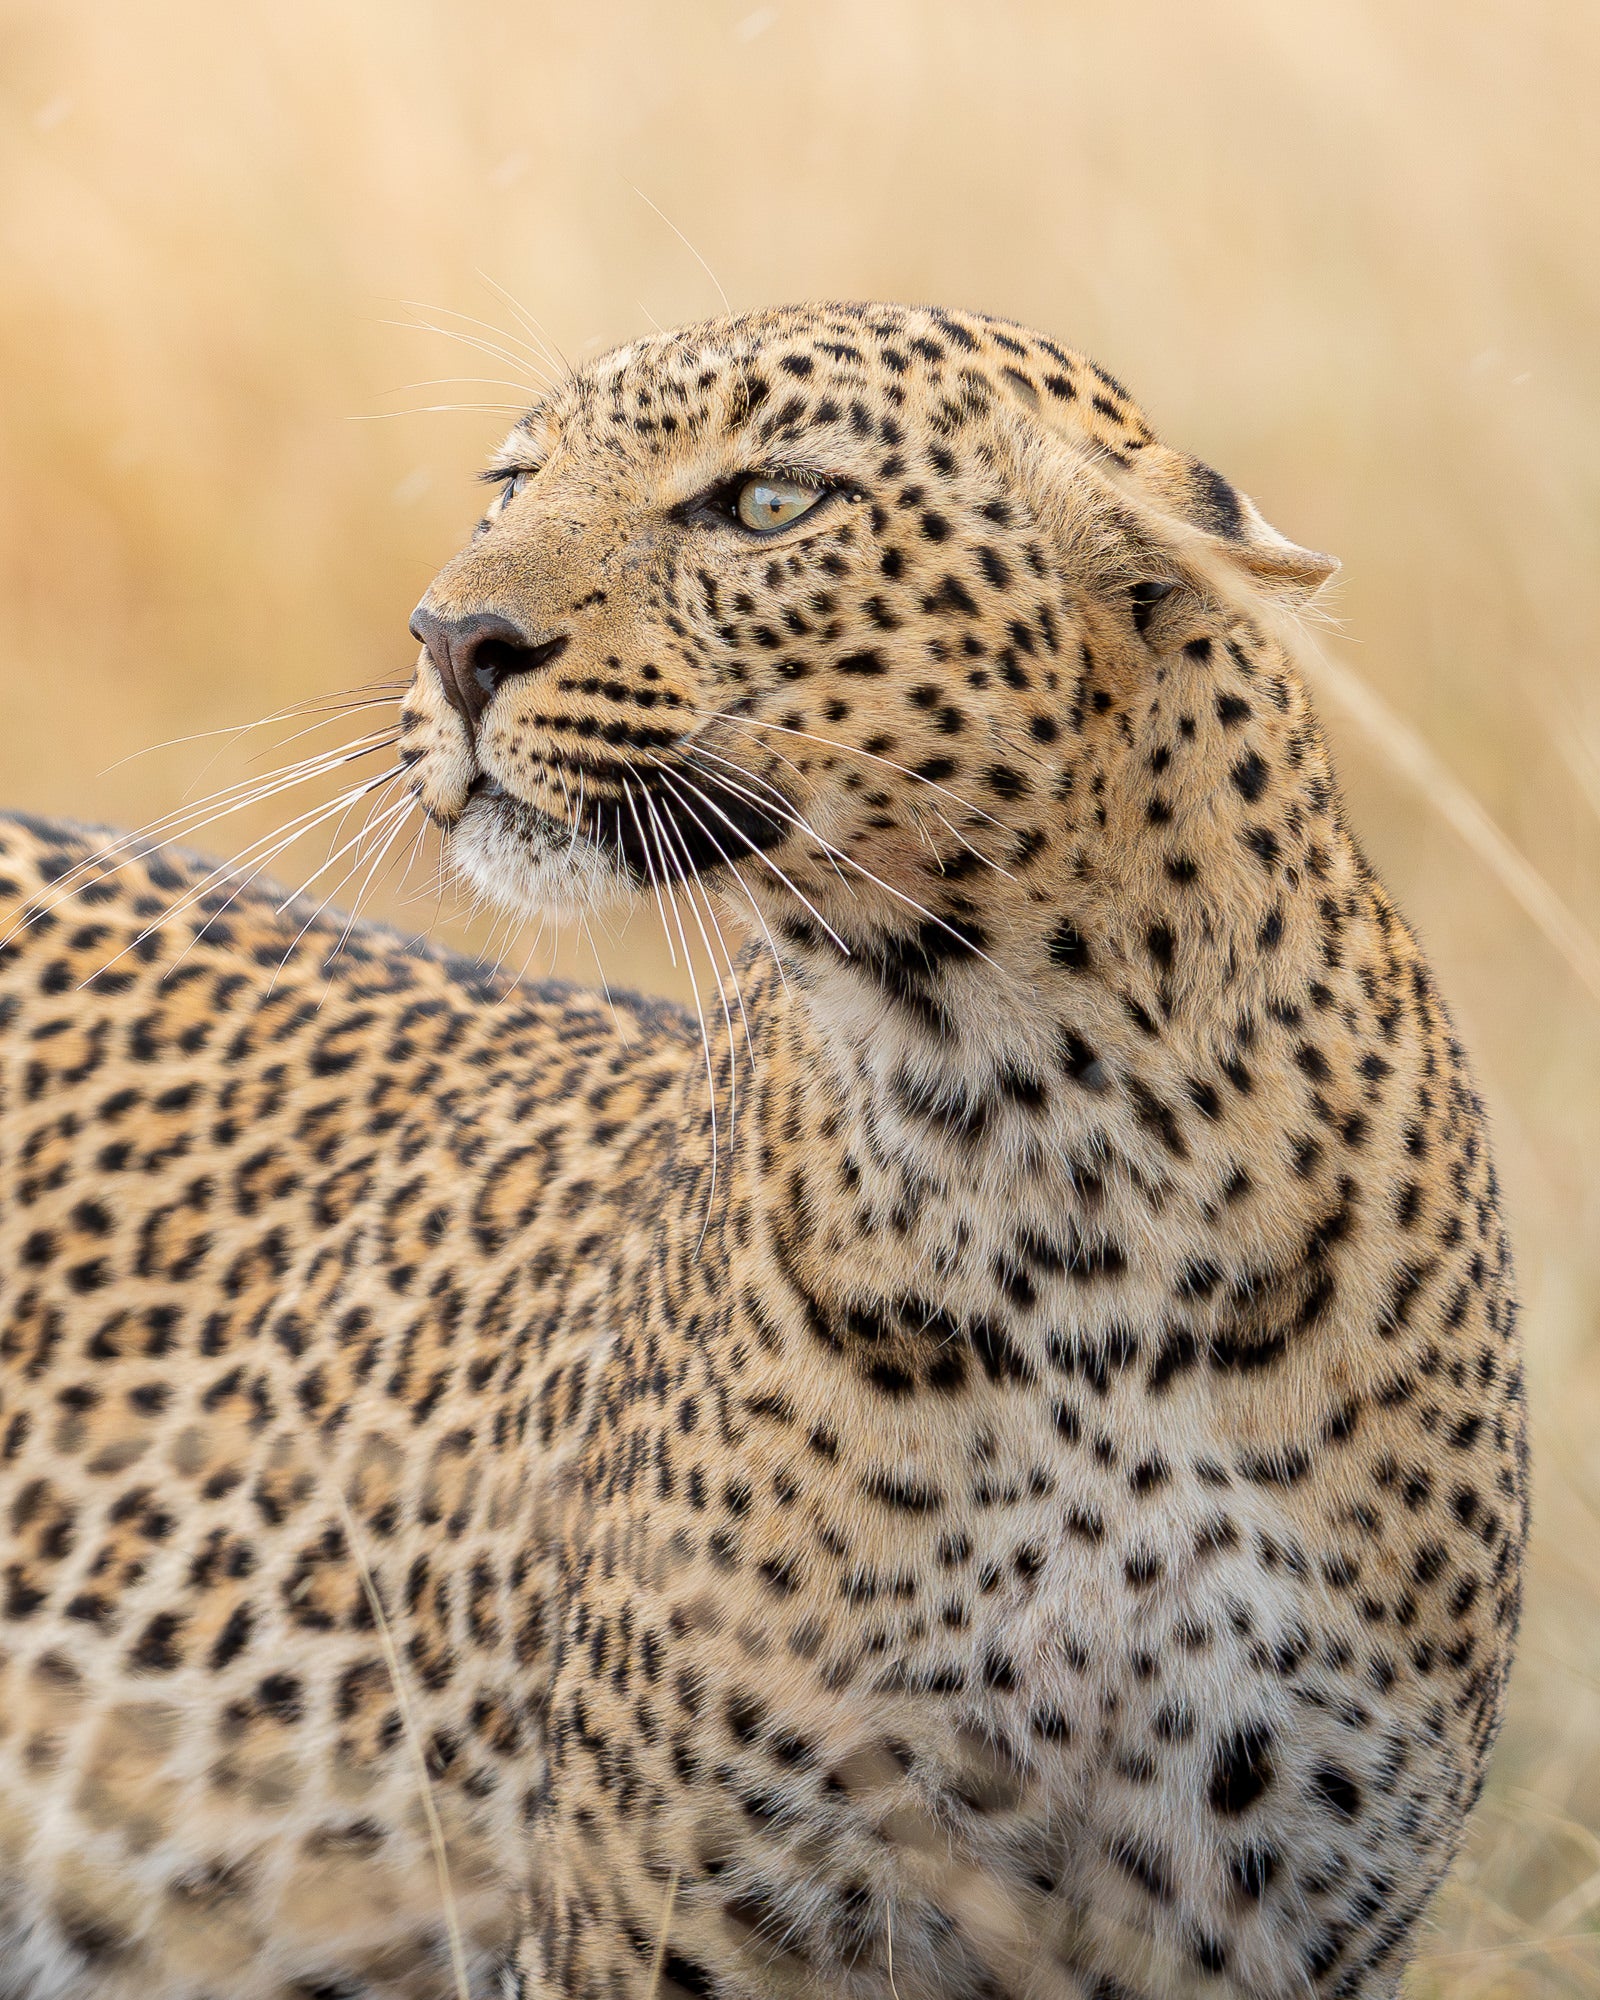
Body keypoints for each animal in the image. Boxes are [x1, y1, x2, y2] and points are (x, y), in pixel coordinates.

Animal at [0, 301, 1526, 2000]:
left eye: (770, 502)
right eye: (513, 482)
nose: (451, 640)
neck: (1058, 1157)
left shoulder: (1270, 1921)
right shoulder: (671, 1927)